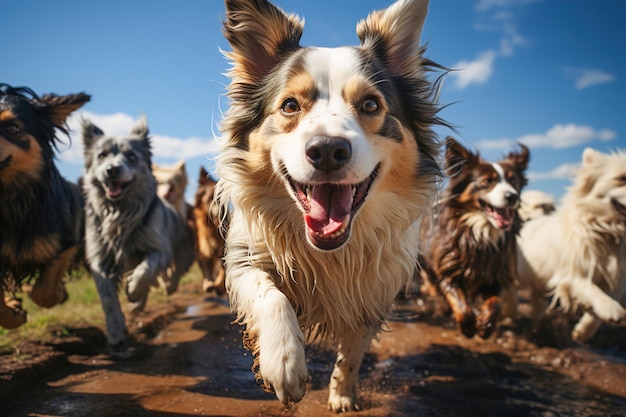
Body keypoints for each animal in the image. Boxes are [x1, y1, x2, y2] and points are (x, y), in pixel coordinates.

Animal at [217, 0, 446, 412]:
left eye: (370, 103)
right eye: (290, 105)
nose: (326, 150)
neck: (329, 253)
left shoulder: (374, 288)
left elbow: (353, 352)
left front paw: (341, 394)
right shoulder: (244, 255)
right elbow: (270, 294)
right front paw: (285, 363)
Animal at [420, 138, 528, 340]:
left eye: (513, 181)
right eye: (487, 181)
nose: (512, 196)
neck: (481, 233)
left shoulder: (496, 274)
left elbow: (495, 303)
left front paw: (486, 326)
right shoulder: (448, 270)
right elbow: (461, 306)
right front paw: (469, 327)